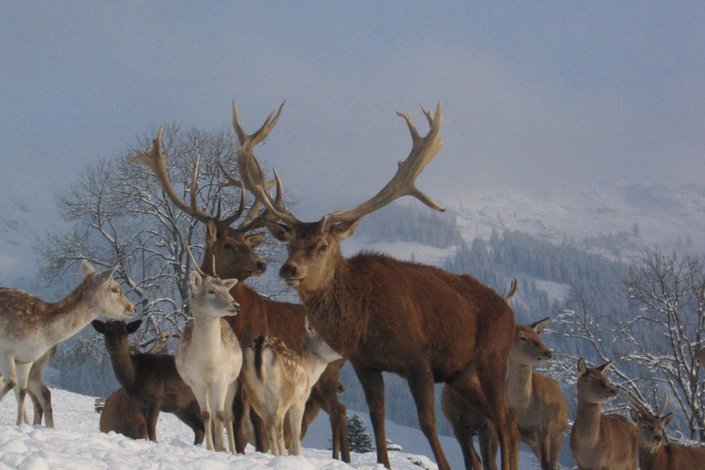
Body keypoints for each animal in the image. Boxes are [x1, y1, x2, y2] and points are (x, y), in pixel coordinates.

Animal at [0, 260, 135, 426]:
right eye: (115, 289)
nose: (132, 307)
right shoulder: (6, 350)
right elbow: (11, 383)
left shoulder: (26, 359)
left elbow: (21, 391)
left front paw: (20, 425)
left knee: (41, 393)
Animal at [175, 255, 241, 453]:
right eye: (211, 290)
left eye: (226, 289)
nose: (235, 305)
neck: (208, 362)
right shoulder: (196, 382)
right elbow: (205, 414)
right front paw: (212, 448)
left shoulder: (222, 378)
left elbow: (220, 414)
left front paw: (224, 449)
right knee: (211, 412)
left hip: (233, 382)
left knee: (227, 415)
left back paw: (232, 449)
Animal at [240, 320, 343, 456]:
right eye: (325, 336)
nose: (342, 353)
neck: (309, 371)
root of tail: (259, 346)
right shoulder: (300, 399)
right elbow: (296, 431)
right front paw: (297, 455)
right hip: (281, 396)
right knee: (277, 422)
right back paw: (282, 454)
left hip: (253, 393)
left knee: (267, 423)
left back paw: (275, 454)